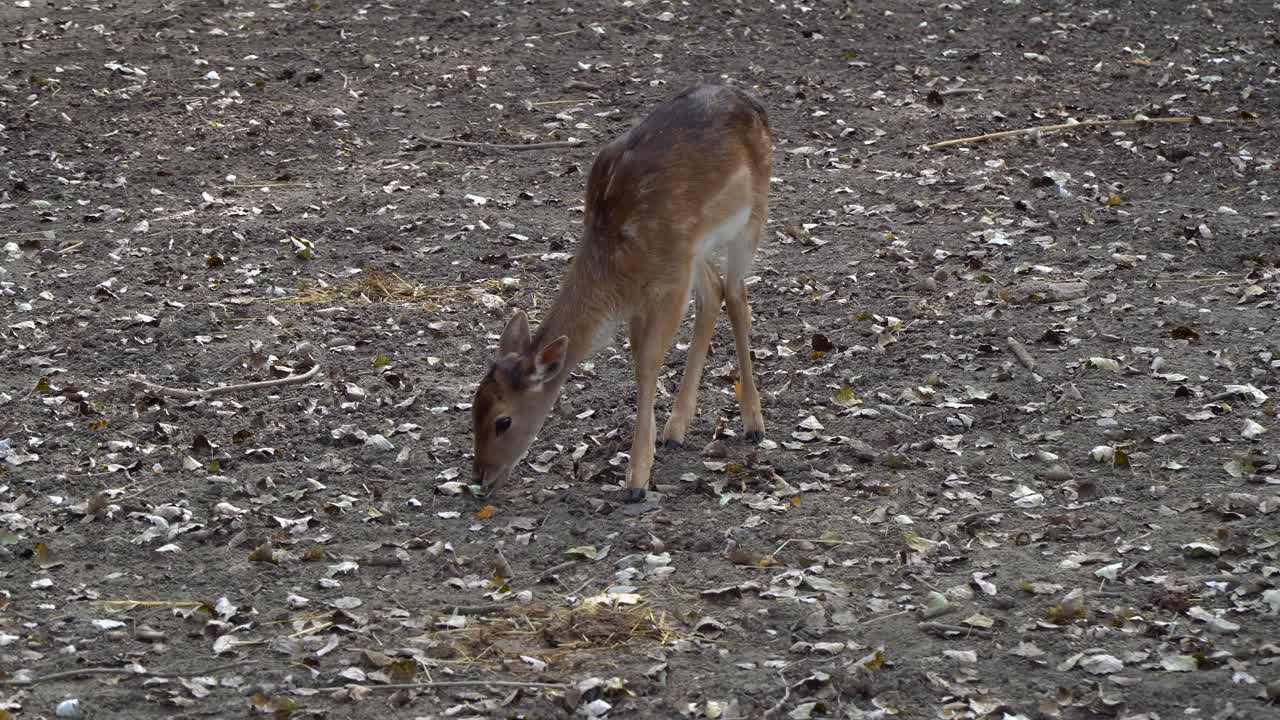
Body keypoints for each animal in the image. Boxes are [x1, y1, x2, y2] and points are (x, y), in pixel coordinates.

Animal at [471, 84, 772, 503]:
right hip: (699, 247)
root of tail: (753, 103)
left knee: (738, 296)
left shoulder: (670, 281)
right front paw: (652, 449)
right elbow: (640, 356)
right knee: (715, 292)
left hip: (751, 218)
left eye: (503, 421)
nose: (481, 478)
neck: (615, 263)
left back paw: (753, 422)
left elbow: (647, 362)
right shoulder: (647, 290)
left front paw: (636, 480)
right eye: (473, 408)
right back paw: (676, 430)